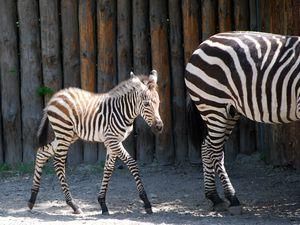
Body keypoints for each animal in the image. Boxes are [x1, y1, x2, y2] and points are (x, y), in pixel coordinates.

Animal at [28, 70, 164, 214]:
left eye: (158, 102)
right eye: (146, 104)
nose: (159, 127)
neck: (122, 111)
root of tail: (54, 97)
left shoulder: (113, 142)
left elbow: (108, 169)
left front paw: (102, 203)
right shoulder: (112, 140)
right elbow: (132, 164)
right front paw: (146, 202)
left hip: (67, 135)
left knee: (42, 153)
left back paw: (32, 199)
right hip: (64, 133)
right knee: (58, 162)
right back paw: (73, 204)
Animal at [185, 31, 300, 214]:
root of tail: (203, 43)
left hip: (229, 111)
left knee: (207, 147)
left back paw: (214, 197)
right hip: (213, 105)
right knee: (213, 150)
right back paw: (231, 198)